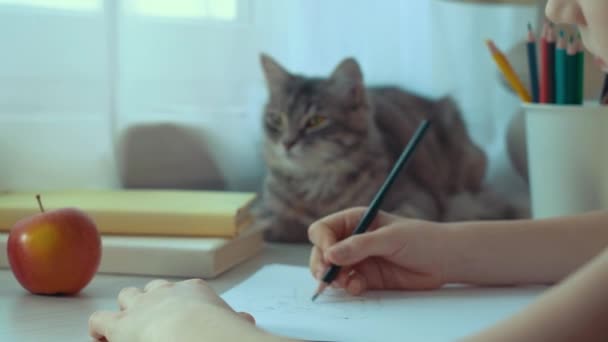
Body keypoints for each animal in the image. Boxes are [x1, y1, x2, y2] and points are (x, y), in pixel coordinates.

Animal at [252, 53, 524, 242]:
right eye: (276, 119)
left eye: (315, 121)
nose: (287, 143)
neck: (317, 188)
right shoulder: (272, 208)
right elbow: (280, 222)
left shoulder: (417, 196)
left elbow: (405, 214)